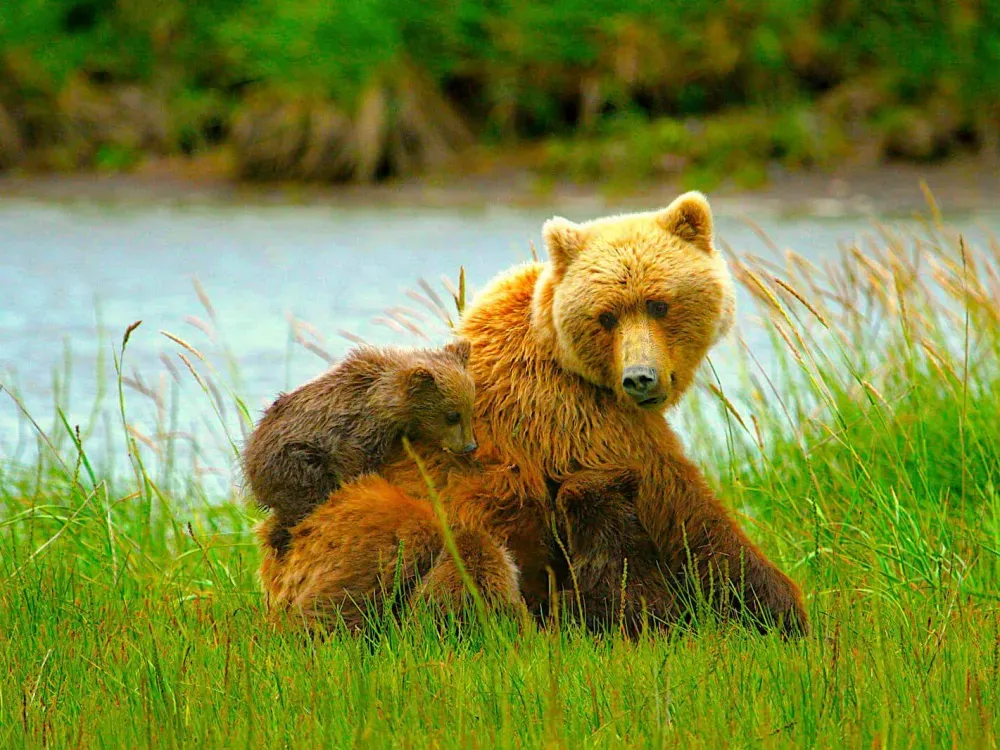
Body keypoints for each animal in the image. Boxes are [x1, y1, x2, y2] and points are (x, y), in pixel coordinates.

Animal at [242, 340, 477, 557]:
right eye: (452, 415)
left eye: (469, 409)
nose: (470, 446)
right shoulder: (355, 432)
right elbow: (354, 465)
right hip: (293, 462)